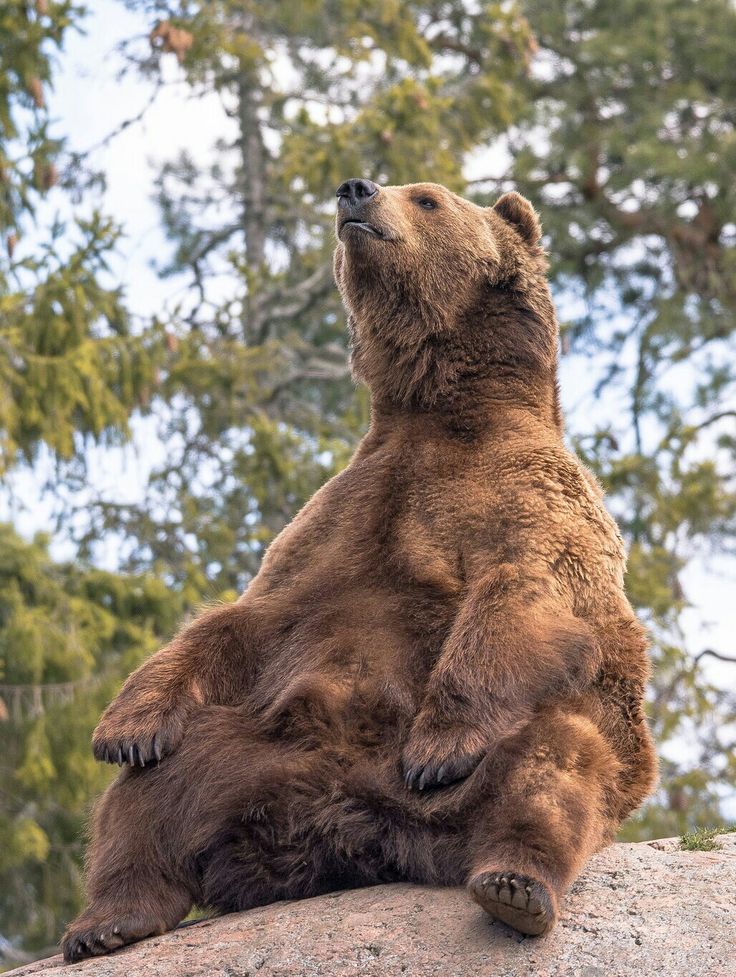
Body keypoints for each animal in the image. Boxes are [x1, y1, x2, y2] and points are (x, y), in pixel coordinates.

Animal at [61, 181, 656, 960]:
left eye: (428, 198)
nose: (355, 190)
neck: (438, 405)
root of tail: (350, 834)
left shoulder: (531, 497)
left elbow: (525, 597)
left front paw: (438, 745)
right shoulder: (346, 508)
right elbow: (246, 617)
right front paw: (125, 726)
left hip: (505, 769)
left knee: (556, 761)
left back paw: (515, 883)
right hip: (242, 753)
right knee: (146, 797)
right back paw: (108, 920)